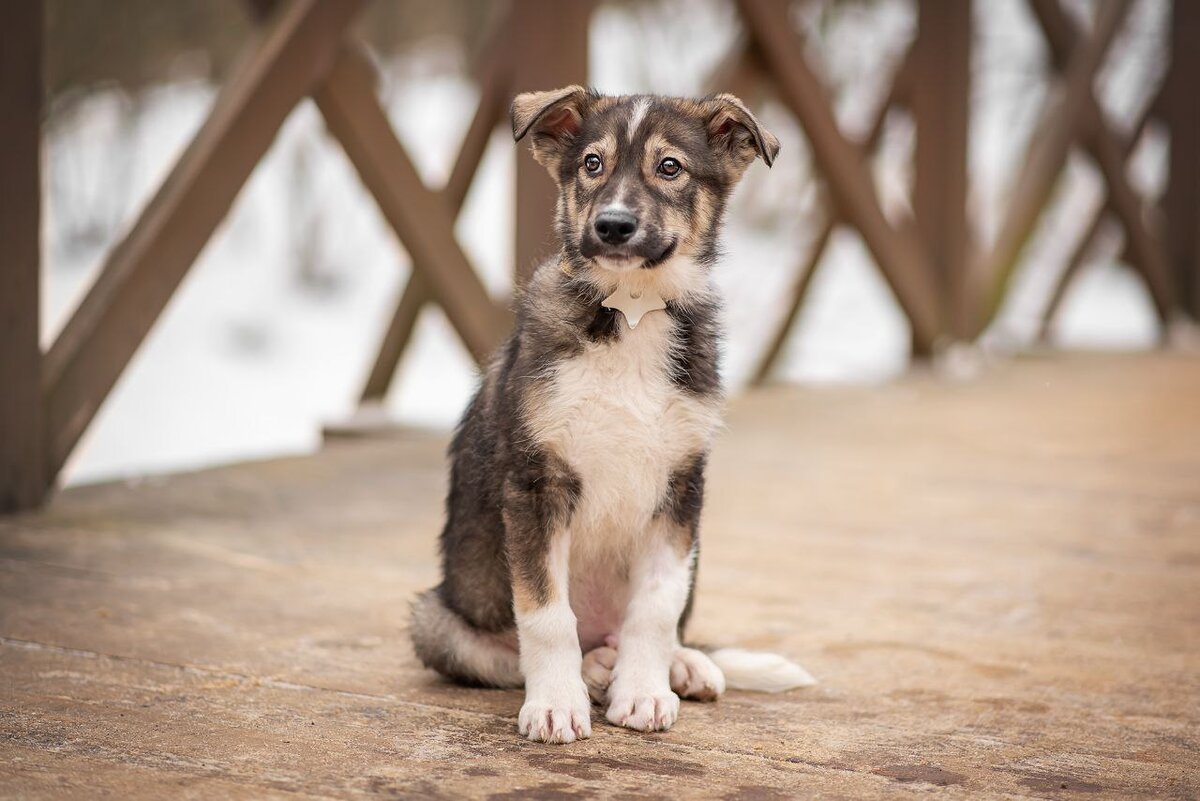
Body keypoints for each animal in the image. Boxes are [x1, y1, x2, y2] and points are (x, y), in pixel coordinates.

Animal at [412, 87, 816, 743]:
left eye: (670, 167)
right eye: (592, 164)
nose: (613, 225)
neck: (631, 310)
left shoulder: (681, 490)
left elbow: (654, 608)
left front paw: (644, 692)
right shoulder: (535, 486)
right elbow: (546, 614)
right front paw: (556, 705)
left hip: (696, 550)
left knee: (646, 627)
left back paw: (668, 664)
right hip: (436, 622)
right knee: (522, 648)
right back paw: (594, 671)